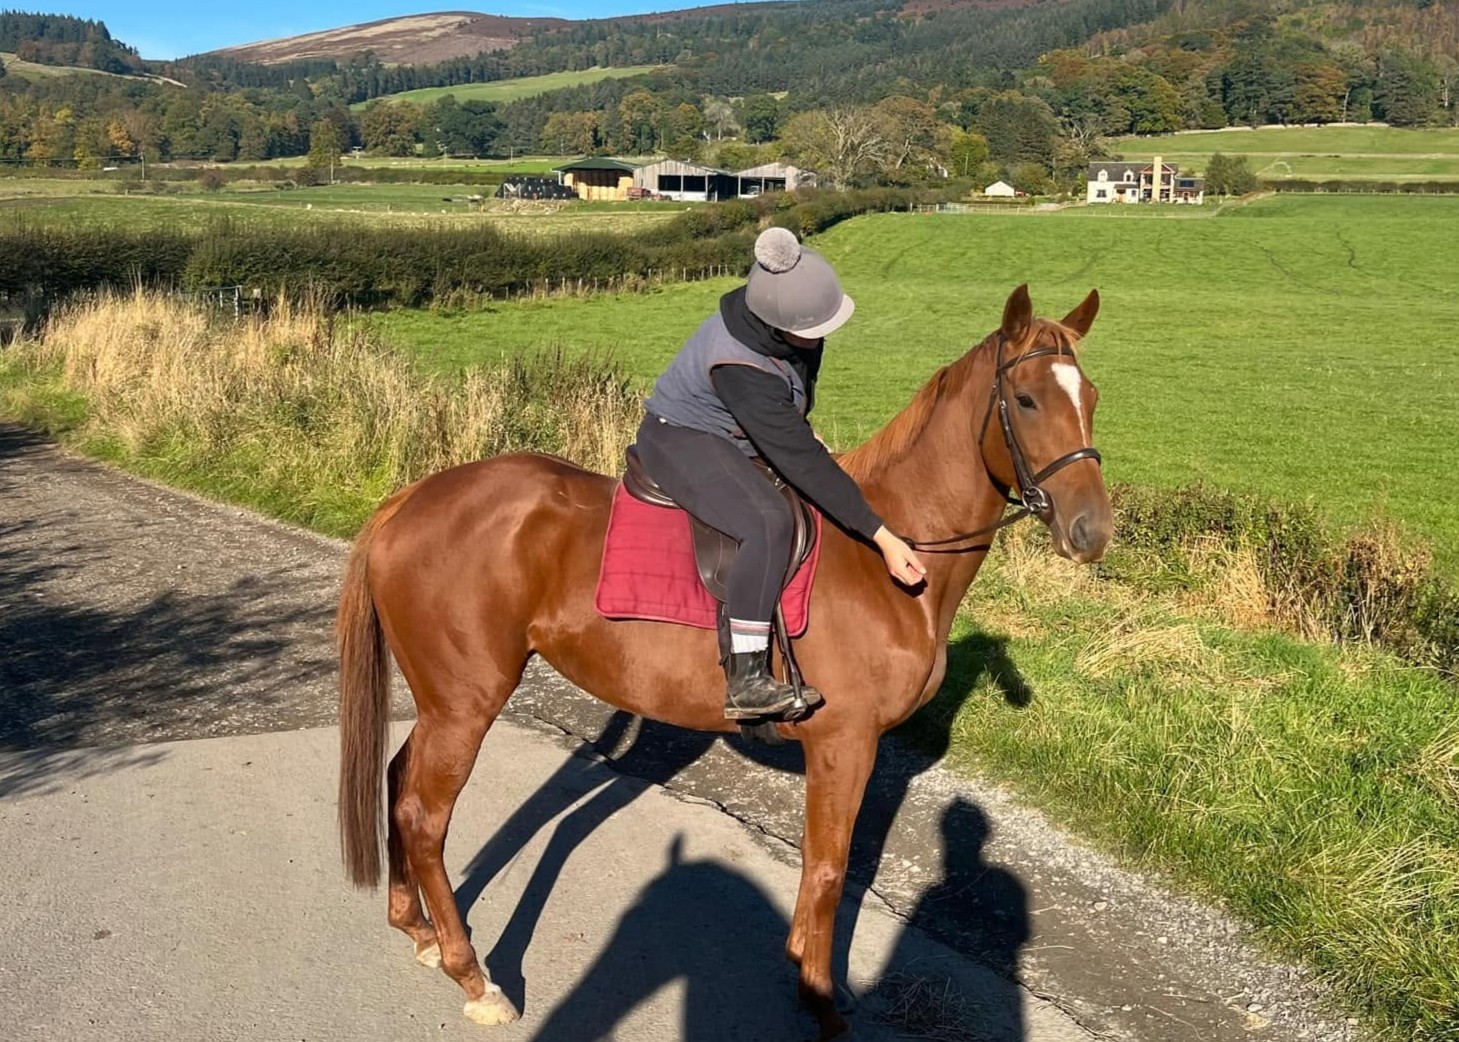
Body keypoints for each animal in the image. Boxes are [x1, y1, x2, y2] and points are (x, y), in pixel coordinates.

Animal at [336, 284, 1113, 1039]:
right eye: (1026, 400)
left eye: (1093, 396)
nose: (1092, 532)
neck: (882, 558)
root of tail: (411, 499)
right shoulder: (845, 745)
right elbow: (827, 869)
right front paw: (821, 999)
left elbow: (821, 867)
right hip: (467, 703)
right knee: (424, 816)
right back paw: (474, 975)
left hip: (443, 701)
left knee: (399, 780)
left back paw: (417, 928)